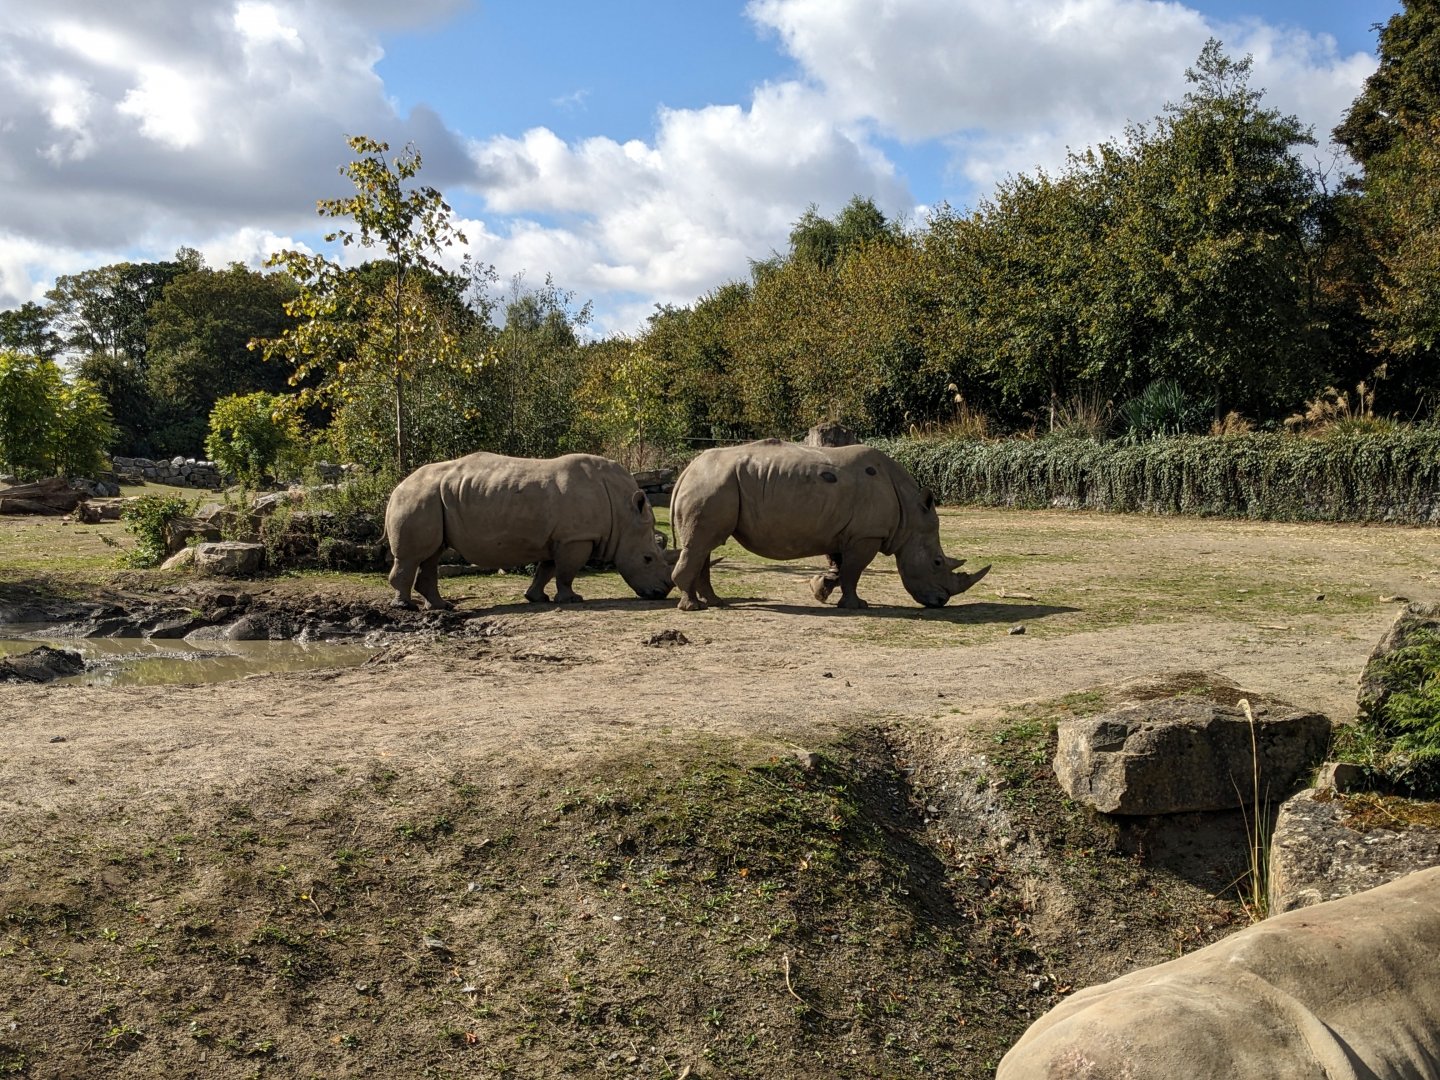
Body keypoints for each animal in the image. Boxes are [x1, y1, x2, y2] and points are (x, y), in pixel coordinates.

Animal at [384, 452, 673, 610]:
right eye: (648, 559)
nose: (664, 591)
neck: (624, 516)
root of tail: (396, 488)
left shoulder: (559, 538)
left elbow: (547, 569)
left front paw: (537, 598)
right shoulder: (576, 538)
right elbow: (566, 572)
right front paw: (572, 600)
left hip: (432, 499)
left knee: (432, 554)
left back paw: (440, 607)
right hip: (418, 498)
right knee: (414, 556)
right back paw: (405, 607)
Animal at [668, 439, 989, 611]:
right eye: (937, 562)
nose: (941, 601)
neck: (910, 513)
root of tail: (686, 470)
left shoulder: (843, 530)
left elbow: (840, 567)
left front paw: (820, 590)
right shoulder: (866, 535)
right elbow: (853, 571)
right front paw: (856, 606)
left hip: (714, 486)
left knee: (704, 545)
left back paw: (715, 602)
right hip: (712, 486)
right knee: (701, 544)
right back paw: (693, 607)